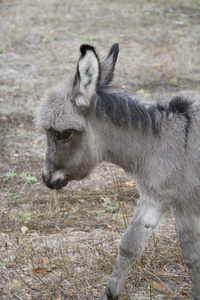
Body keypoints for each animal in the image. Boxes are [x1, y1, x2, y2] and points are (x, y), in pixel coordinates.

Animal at [36, 43, 200, 298]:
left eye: (63, 134)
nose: (46, 177)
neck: (157, 145)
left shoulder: (185, 205)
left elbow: (192, 258)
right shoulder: (153, 199)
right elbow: (129, 246)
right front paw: (110, 293)